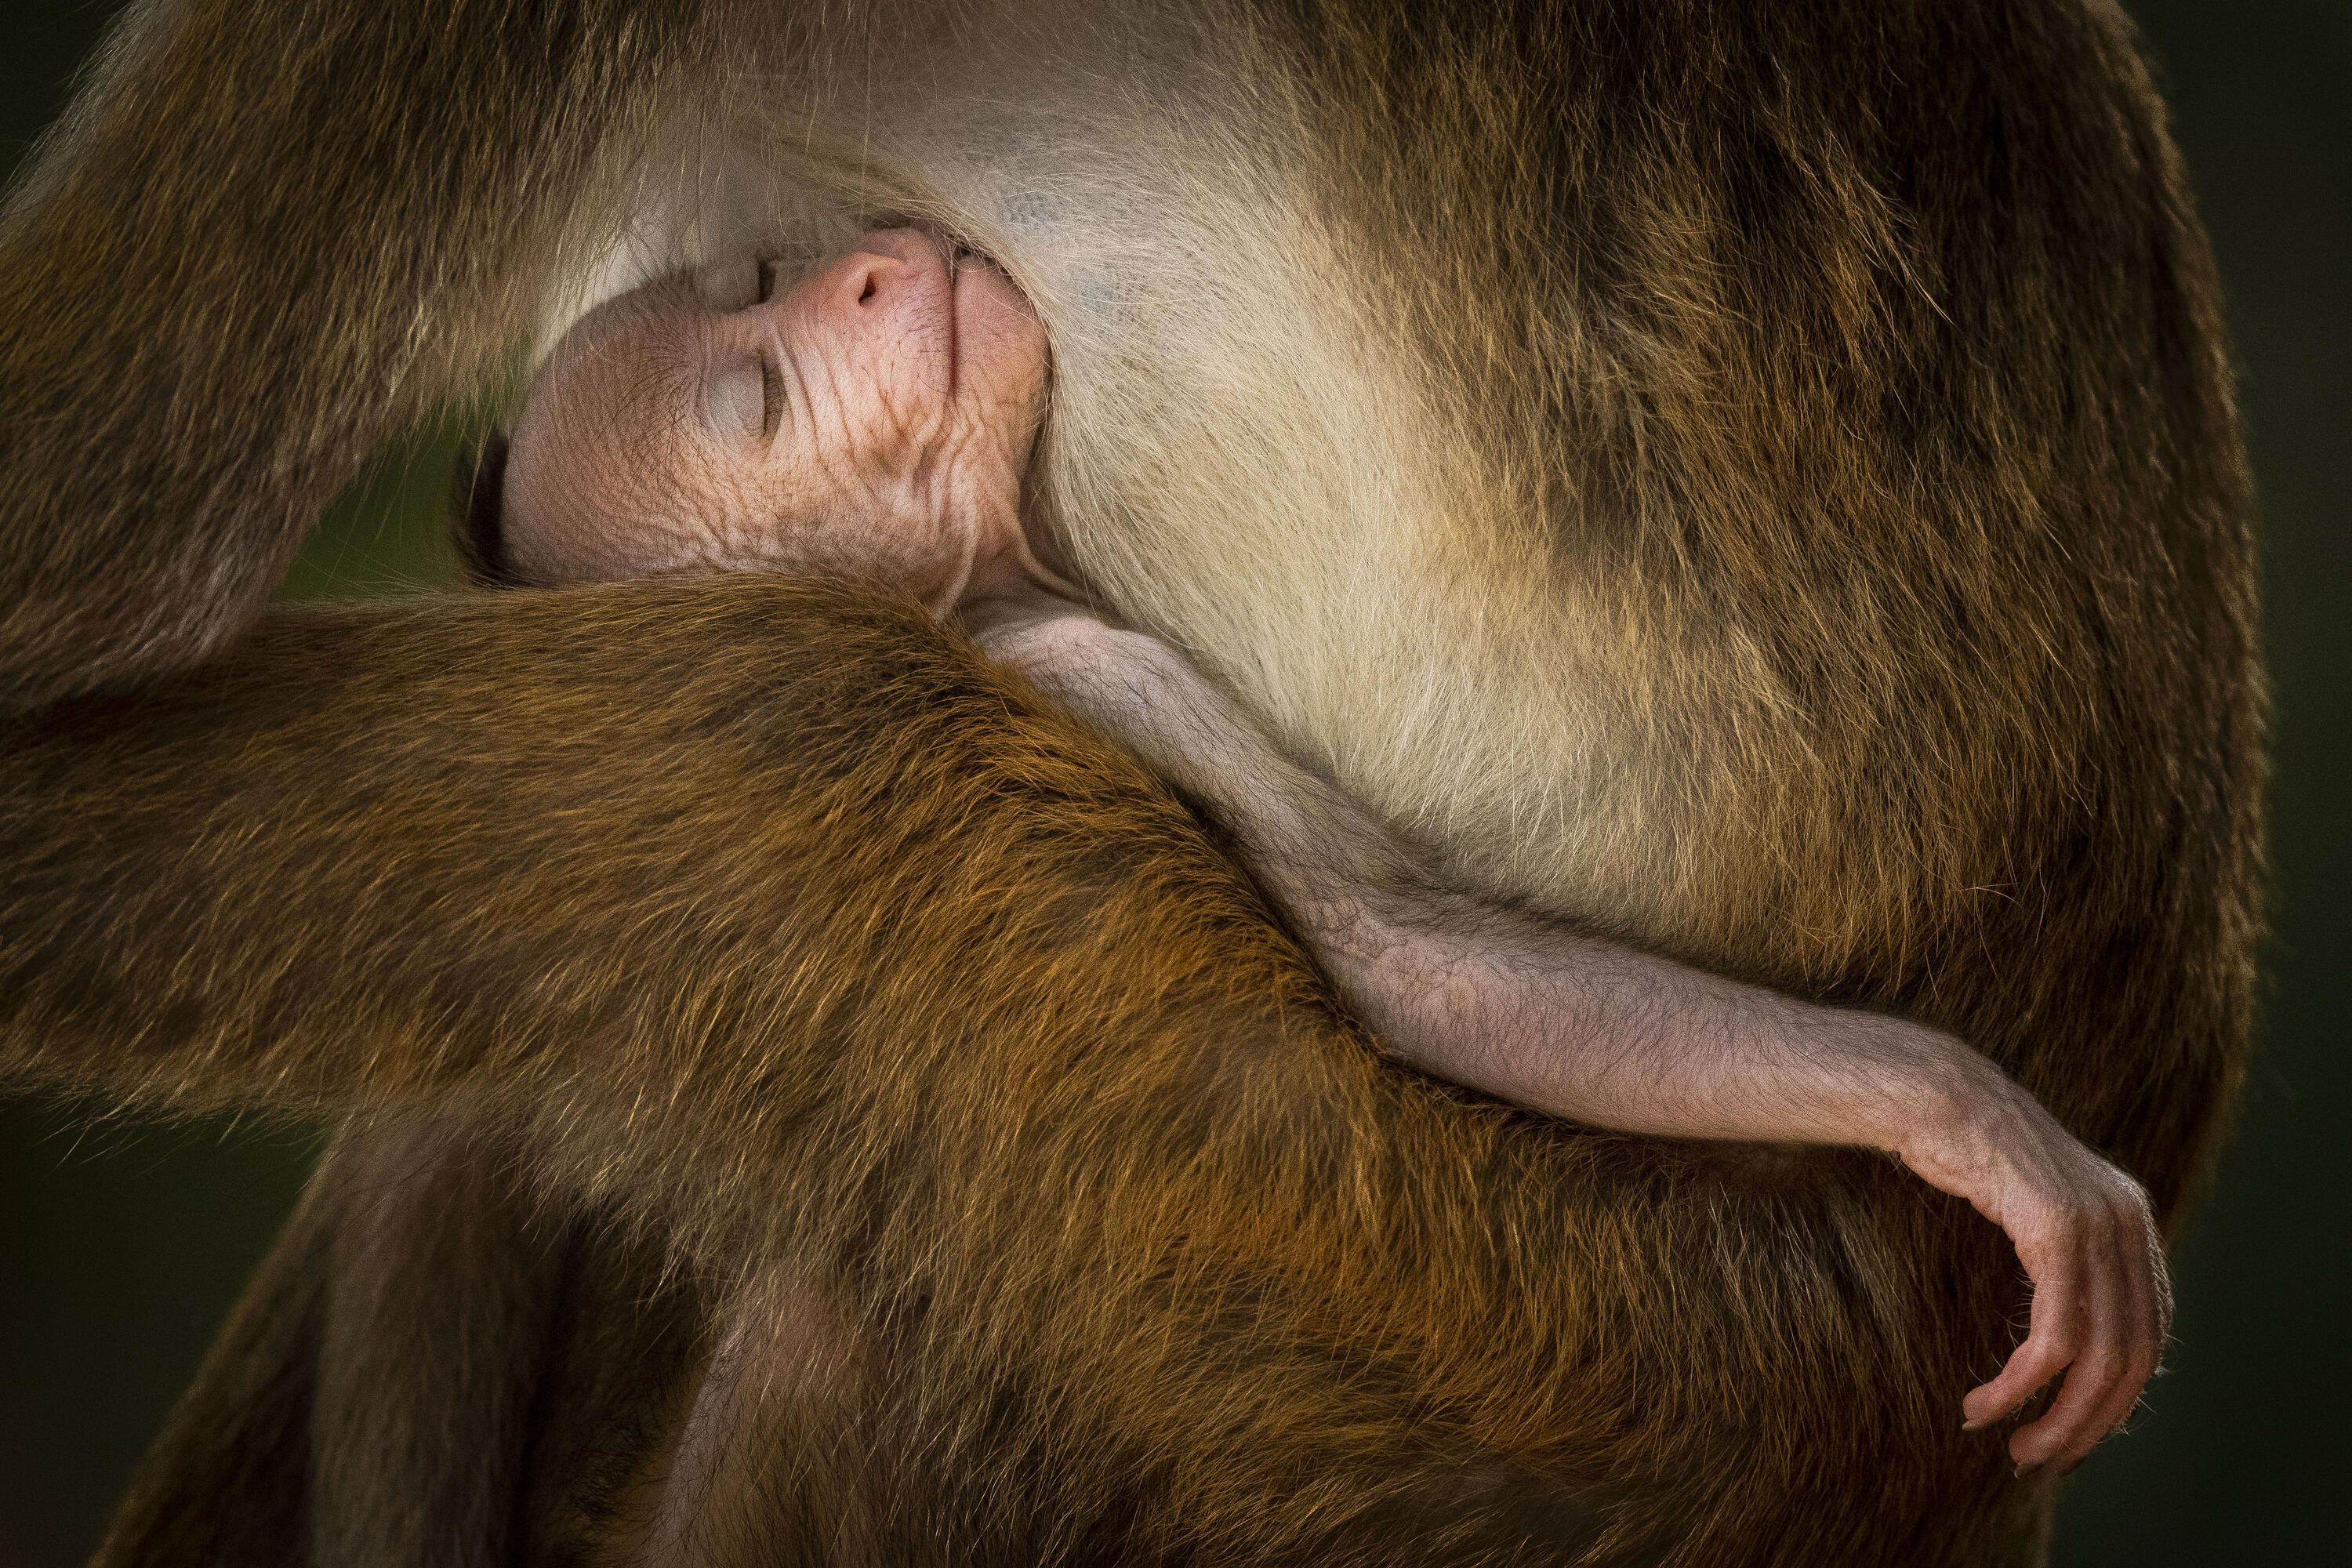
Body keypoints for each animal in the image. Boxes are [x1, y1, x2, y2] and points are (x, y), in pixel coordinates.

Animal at [0, 1, 2261, 1565]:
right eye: (760, 388)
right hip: (1501, 1345)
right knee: (793, 766)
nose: (868, 271)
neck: (1005, 581)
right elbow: (1396, 953)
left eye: (749, 299)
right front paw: (1951, 1112)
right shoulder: (1092, 668)